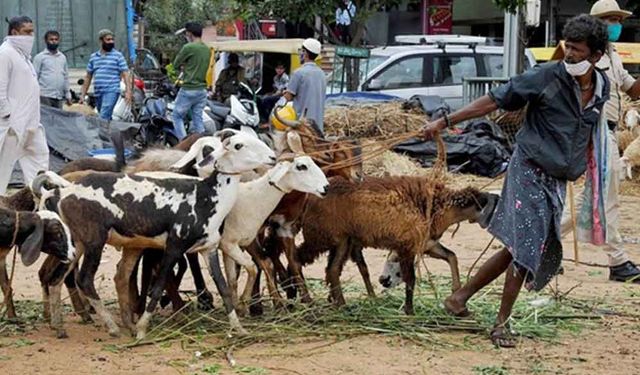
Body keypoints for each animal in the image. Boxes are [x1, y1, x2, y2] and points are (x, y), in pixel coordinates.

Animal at [292, 178, 498, 316]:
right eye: (484, 202)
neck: (438, 207)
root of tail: (310, 198)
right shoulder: (407, 245)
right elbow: (411, 279)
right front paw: (410, 310)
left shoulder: (424, 243)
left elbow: (451, 256)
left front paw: (456, 291)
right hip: (321, 236)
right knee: (297, 259)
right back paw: (305, 298)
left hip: (342, 240)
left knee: (333, 270)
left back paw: (341, 305)